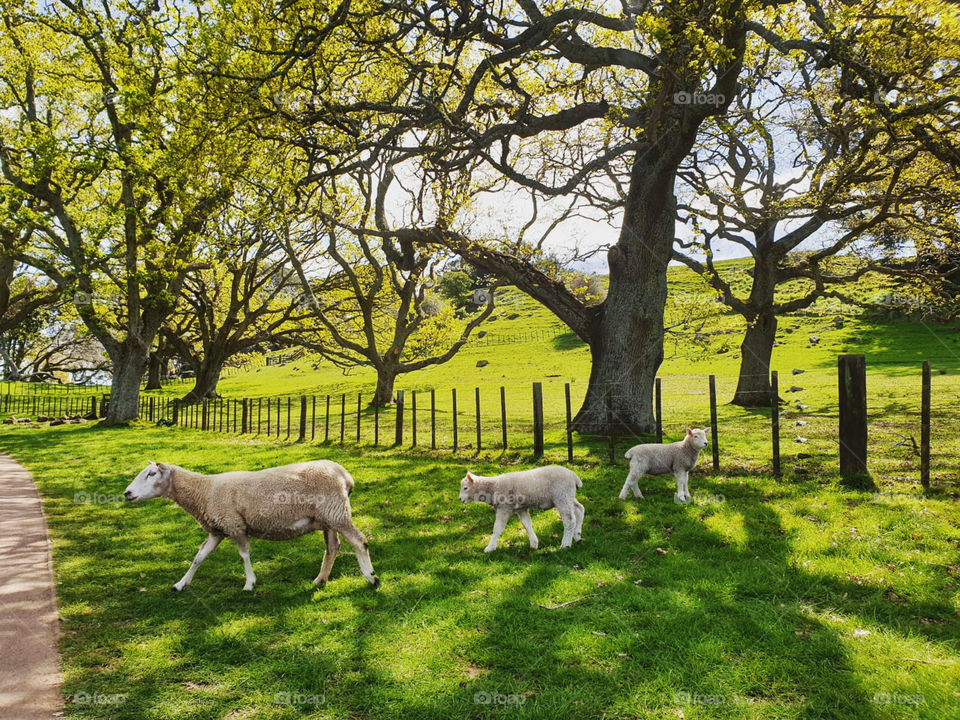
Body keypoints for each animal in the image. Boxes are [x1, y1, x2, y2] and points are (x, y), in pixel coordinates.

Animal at [125, 462, 380, 592]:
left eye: (151, 473)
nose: (127, 493)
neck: (204, 492)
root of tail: (345, 476)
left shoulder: (235, 525)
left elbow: (244, 555)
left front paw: (249, 583)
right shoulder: (217, 530)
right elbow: (199, 557)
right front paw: (180, 584)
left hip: (336, 512)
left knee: (359, 541)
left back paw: (372, 577)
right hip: (328, 518)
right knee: (333, 547)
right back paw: (320, 580)